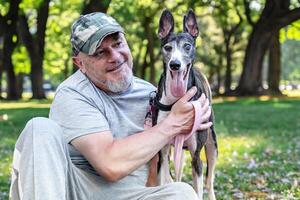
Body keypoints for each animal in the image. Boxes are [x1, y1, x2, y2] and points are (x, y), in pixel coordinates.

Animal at [148, 8, 218, 199]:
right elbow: (164, 181)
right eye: (167, 48)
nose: (175, 64)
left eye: (187, 46)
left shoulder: (196, 156)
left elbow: (198, 189)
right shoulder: (163, 153)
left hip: (212, 145)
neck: (177, 101)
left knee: (209, 182)